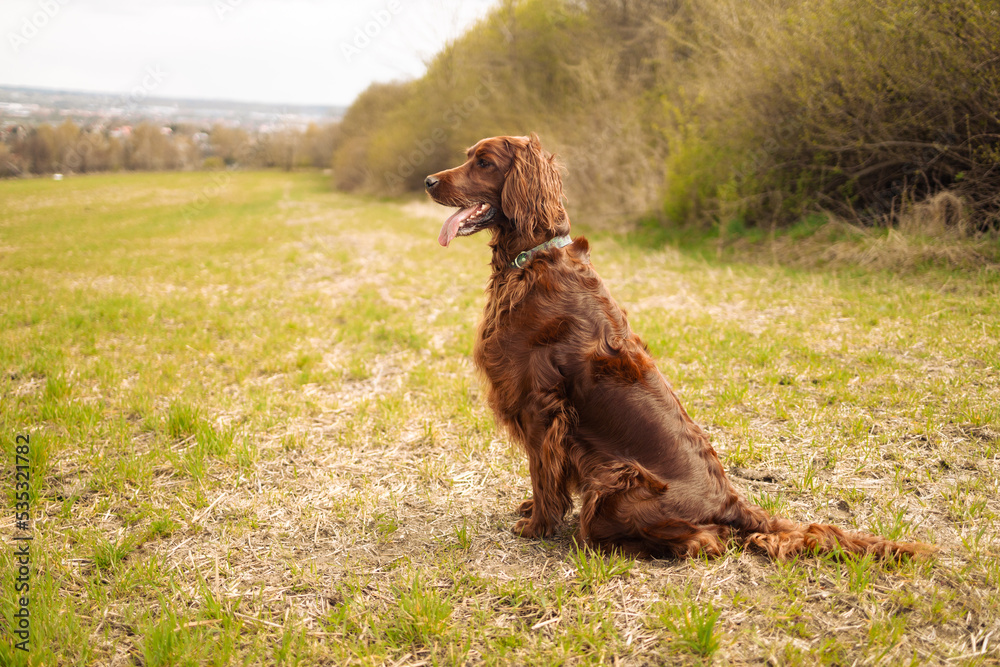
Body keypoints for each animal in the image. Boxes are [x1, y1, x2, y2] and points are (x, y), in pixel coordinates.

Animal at [424, 134, 928, 560]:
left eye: (483, 162)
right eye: (469, 156)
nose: (428, 181)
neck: (533, 258)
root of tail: (732, 501)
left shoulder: (539, 403)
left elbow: (541, 471)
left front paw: (537, 527)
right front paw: (533, 513)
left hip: (617, 484)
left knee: (707, 541)